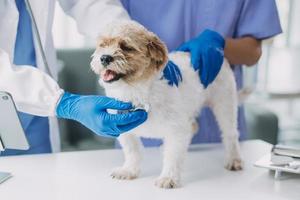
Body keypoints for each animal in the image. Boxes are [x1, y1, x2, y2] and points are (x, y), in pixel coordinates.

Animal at [90, 21, 243, 188]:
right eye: (103, 45)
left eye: (126, 47)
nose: (104, 57)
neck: (137, 90)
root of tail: (221, 56)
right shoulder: (123, 128)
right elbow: (132, 151)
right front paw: (129, 170)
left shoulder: (176, 130)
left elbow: (173, 155)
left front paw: (168, 178)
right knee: (193, 127)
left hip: (224, 104)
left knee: (230, 133)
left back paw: (234, 159)